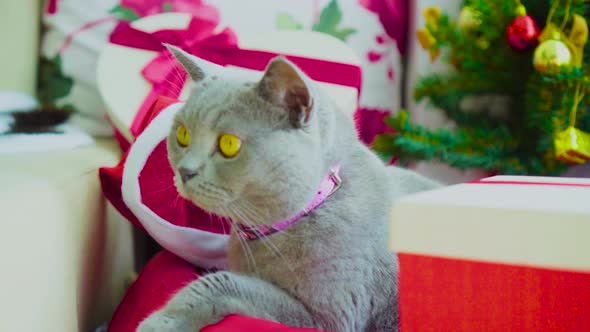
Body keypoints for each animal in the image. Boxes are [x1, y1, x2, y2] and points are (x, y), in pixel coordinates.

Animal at [136, 44, 442, 332]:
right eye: (182, 135)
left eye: (229, 144)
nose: (184, 171)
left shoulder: (329, 318)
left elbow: (223, 283)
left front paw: (160, 322)